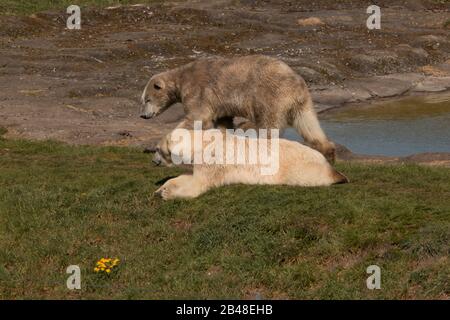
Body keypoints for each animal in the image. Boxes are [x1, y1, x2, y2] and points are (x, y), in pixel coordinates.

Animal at [142, 54, 336, 162]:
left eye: (147, 99)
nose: (143, 116)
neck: (181, 79)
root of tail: (296, 82)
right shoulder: (220, 104)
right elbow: (223, 123)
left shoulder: (198, 91)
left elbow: (197, 118)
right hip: (301, 102)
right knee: (308, 124)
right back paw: (329, 152)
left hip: (270, 96)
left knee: (268, 127)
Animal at [153, 128, 346, 200]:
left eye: (157, 149)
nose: (153, 160)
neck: (204, 142)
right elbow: (189, 176)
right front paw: (161, 188)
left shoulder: (214, 159)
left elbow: (198, 185)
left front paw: (167, 193)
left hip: (300, 168)